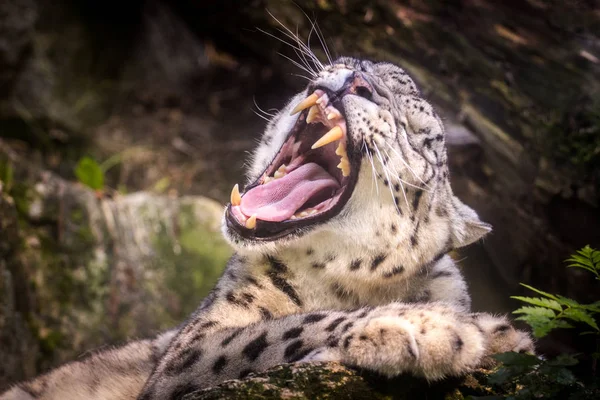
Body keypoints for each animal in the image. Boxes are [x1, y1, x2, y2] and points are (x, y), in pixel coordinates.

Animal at [1, 57, 536, 400]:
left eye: (421, 136)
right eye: (352, 60)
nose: (355, 78)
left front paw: (496, 333)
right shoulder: (191, 347)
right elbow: (279, 329)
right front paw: (426, 327)